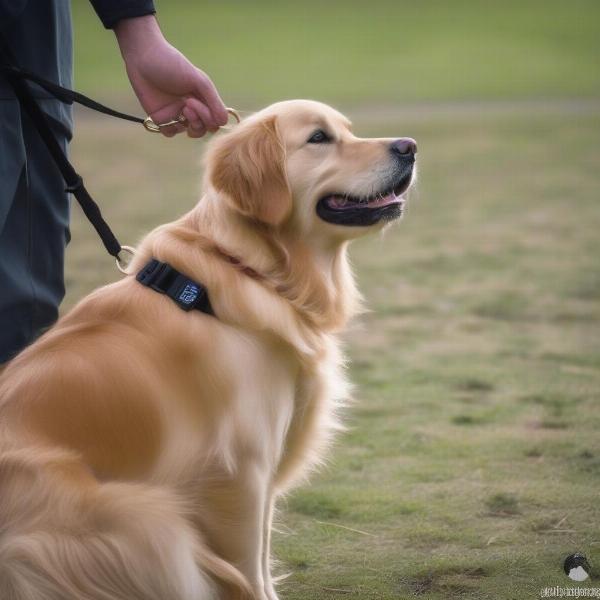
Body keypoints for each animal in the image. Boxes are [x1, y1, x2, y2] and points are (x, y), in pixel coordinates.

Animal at [0, 101, 414, 596]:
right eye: (318, 138)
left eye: (349, 131)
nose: (409, 147)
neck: (252, 268)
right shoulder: (241, 470)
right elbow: (250, 566)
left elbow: (262, 556)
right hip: (142, 519)